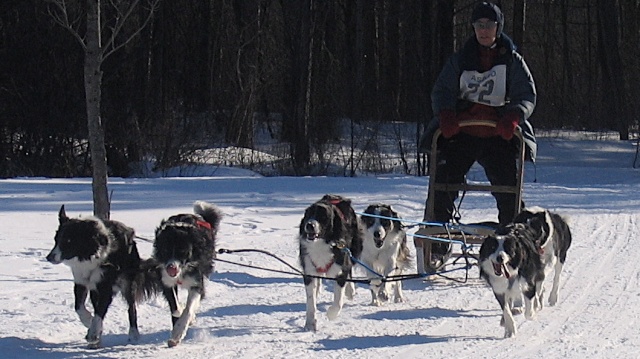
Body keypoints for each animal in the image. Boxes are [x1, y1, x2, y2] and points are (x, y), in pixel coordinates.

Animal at [45, 205, 158, 348]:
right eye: (56, 239)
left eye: (69, 240)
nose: (49, 257)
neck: (89, 256)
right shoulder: (82, 282)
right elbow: (79, 307)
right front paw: (89, 323)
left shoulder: (105, 286)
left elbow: (100, 311)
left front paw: (93, 333)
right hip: (95, 289)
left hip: (128, 283)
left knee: (131, 308)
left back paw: (133, 334)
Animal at [152, 201, 222, 348]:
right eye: (165, 250)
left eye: (182, 251)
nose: (171, 267)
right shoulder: (167, 282)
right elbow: (176, 308)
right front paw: (176, 329)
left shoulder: (196, 283)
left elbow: (188, 310)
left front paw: (179, 331)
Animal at [298, 195, 362, 334]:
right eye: (309, 214)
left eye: (323, 216)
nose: (309, 225)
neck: (321, 243)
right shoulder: (308, 270)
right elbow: (310, 301)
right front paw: (310, 324)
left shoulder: (341, 268)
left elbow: (338, 301)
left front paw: (331, 314)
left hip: (354, 249)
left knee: (350, 268)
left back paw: (350, 290)